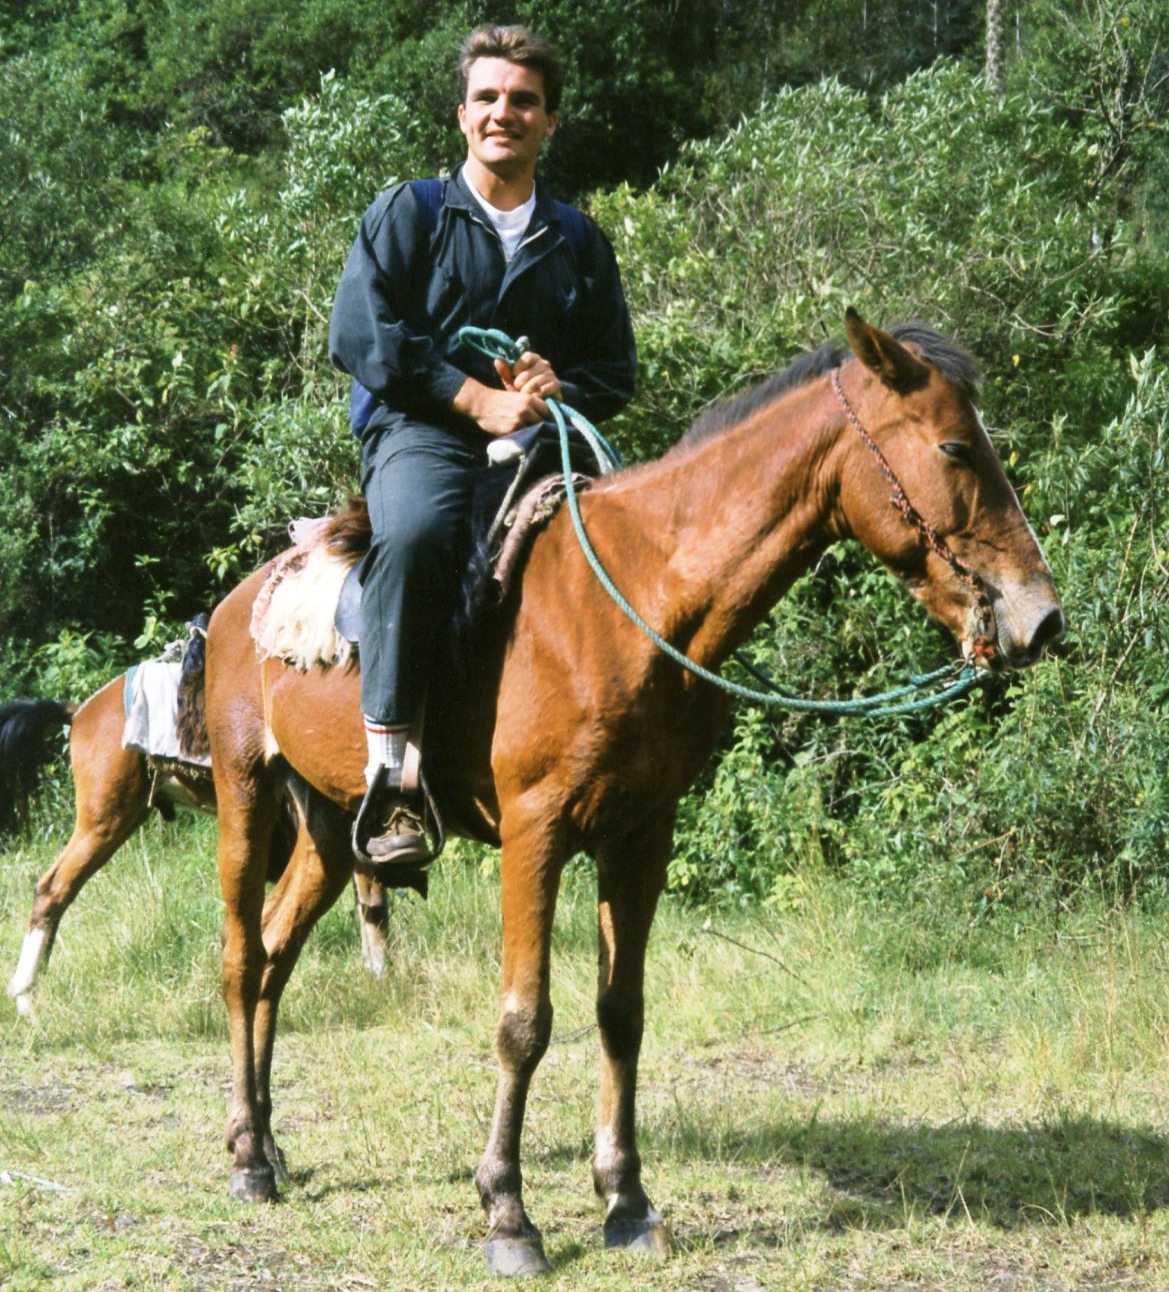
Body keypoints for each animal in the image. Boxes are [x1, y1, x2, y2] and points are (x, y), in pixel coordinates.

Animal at [3, 658, 393, 1016]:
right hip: (103, 822)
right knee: (52, 890)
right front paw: (381, 977)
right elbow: (371, 906)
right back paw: (25, 999)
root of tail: (81, 710)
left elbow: (369, 906)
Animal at [204, 311, 1064, 1276]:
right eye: (954, 446)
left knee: (276, 956)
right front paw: (507, 1213)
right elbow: (524, 1022)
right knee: (241, 960)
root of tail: (242, 602)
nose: (1041, 618)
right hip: (244, 795)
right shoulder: (535, 833)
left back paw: (267, 1145)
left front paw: (625, 1200)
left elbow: (621, 1013)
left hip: (326, 833)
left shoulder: (641, 834)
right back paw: (247, 1160)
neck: (635, 603)